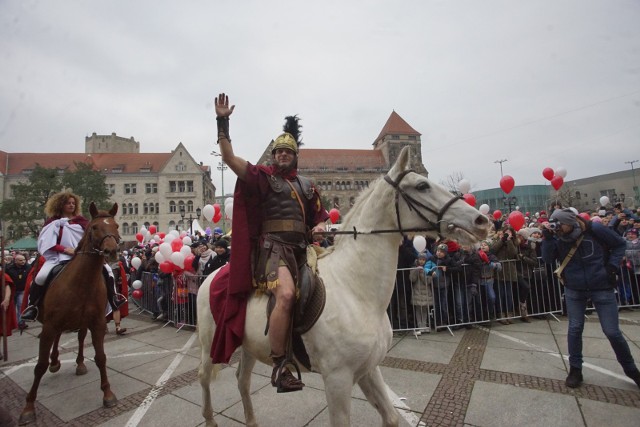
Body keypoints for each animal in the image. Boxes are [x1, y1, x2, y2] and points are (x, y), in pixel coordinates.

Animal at [19, 203, 121, 424]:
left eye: (116, 225)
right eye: (94, 227)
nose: (111, 251)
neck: (82, 283)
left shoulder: (98, 323)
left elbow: (101, 357)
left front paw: (108, 395)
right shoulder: (49, 325)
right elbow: (39, 365)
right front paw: (28, 408)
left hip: (79, 323)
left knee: (80, 339)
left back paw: (77, 363)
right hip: (53, 322)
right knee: (57, 339)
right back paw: (55, 361)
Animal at [198, 145, 488, 426]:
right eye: (422, 186)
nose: (481, 221)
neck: (357, 290)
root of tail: (209, 278)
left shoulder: (368, 369)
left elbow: (391, 417)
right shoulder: (338, 378)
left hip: (248, 345)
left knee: (241, 380)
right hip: (210, 342)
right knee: (204, 375)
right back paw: (210, 419)